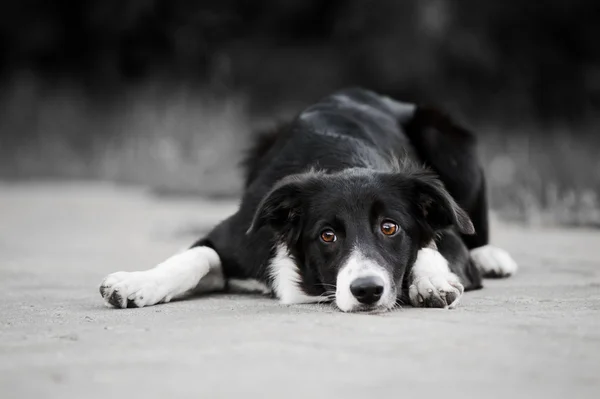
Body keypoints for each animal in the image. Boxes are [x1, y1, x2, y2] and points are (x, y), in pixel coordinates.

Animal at [97, 87, 516, 312]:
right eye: (327, 235)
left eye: (390, 227)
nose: (367, 291)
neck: (342, 164)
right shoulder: (237, 234)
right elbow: (195, 256)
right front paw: (137, 283)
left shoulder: (448, 236)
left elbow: (431, 245)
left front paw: (431, 281)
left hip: (450, 141)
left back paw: (492, 256)